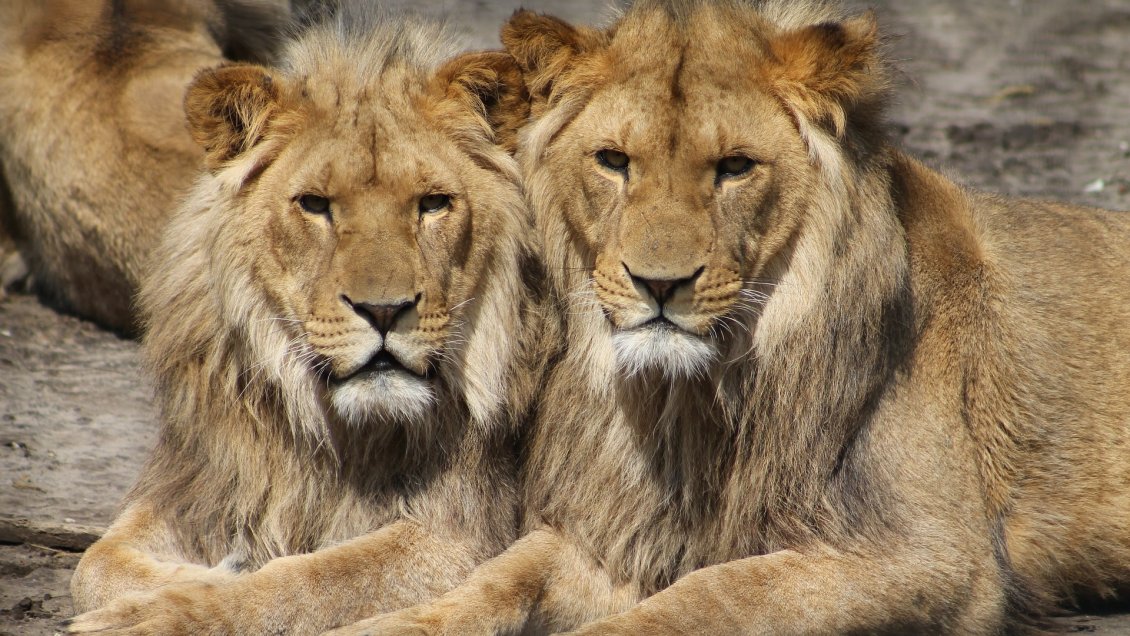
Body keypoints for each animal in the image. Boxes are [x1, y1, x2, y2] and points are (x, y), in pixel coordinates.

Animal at [68, 5, 545, 634]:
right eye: (315, 205)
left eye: (433, 204)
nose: (385, 310)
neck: (328, 429)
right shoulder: (204, 481)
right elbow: (94, 564)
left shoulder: (459, 535)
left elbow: (310, 579)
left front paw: (166, 611)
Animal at [329, 1, 1130, 634]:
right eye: (613, 161)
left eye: (735, 167)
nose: (660, 285)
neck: (687, 403)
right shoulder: (616, 531)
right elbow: (501, 576)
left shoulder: (931, 555)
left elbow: (711, 595)